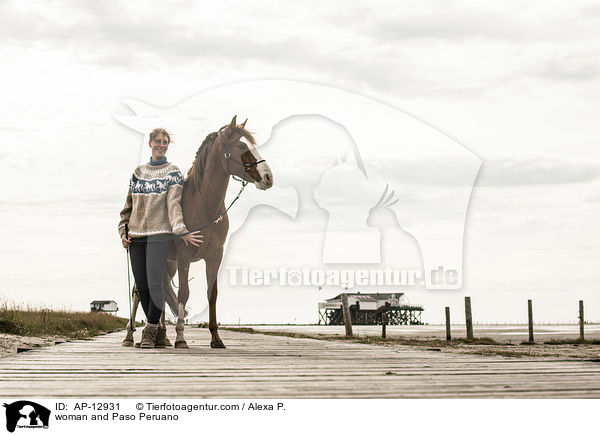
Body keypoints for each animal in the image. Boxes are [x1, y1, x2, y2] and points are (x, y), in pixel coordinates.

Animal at [123, 116, 274, 348]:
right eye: (241, 146)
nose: (268, 177)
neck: (204, 206)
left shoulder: (215, 256)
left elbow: (212, 294)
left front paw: (216, 338)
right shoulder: (185, 255)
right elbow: (183, 293)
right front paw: (181, 338)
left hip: (168, 265)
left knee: (160, 293)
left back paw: (161, 337)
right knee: (139, 291)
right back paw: (131, 337)